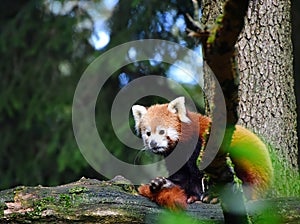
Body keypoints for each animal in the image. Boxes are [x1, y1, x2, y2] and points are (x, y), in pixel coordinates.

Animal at [132, 96, 274, 210]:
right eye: (148, 133)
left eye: (162, 131)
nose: (153, 144)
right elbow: (182, 177)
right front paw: (164, 184)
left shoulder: (199, 146)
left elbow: (199, 173)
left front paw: (199, 196)